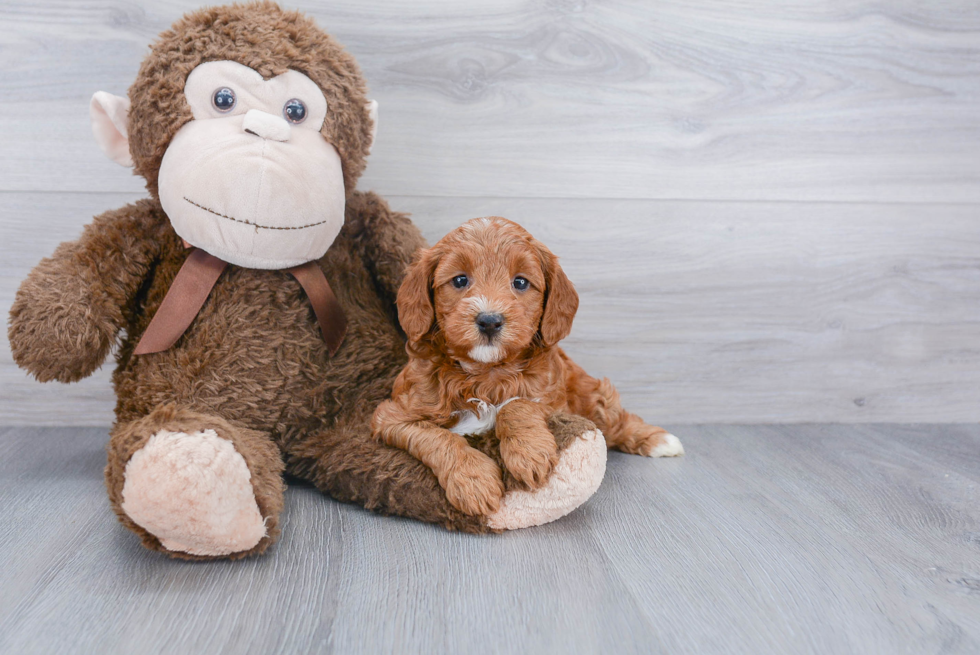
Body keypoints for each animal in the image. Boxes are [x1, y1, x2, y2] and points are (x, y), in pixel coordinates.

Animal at [372, 219, 684, 516]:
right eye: (460, 280)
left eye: (520, 283)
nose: (489, 321)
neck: (487, 372)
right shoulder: (393, 415)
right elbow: (435, 437)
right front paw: (473, 481)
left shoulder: (554, 399)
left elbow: (517, 404)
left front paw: (528, 453)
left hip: (590, 395)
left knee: (617, 419)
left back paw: (659, 440)